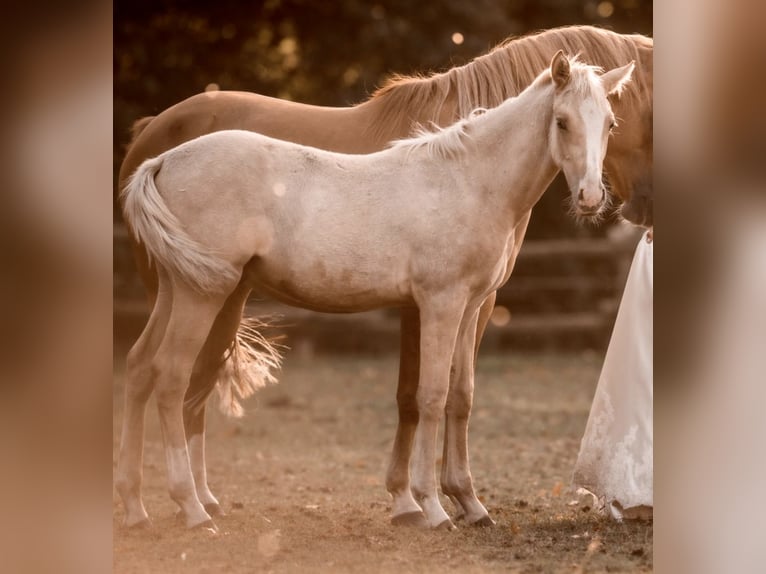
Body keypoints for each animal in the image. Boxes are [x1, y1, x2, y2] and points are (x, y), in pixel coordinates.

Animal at [115, 25, 656, 532]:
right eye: (562, 121)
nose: (591, 198)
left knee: (140, 370)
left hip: (177, 290)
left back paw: (139, 509)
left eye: (610, 123)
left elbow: (461, 395)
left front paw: (471, 506)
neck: (467, 179)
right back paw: (192, 509)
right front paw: (430, 508)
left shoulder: (471, 306)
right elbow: (429, 396)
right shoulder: (438, 304)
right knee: (172, 378)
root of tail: (162, 159)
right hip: (202, 295)